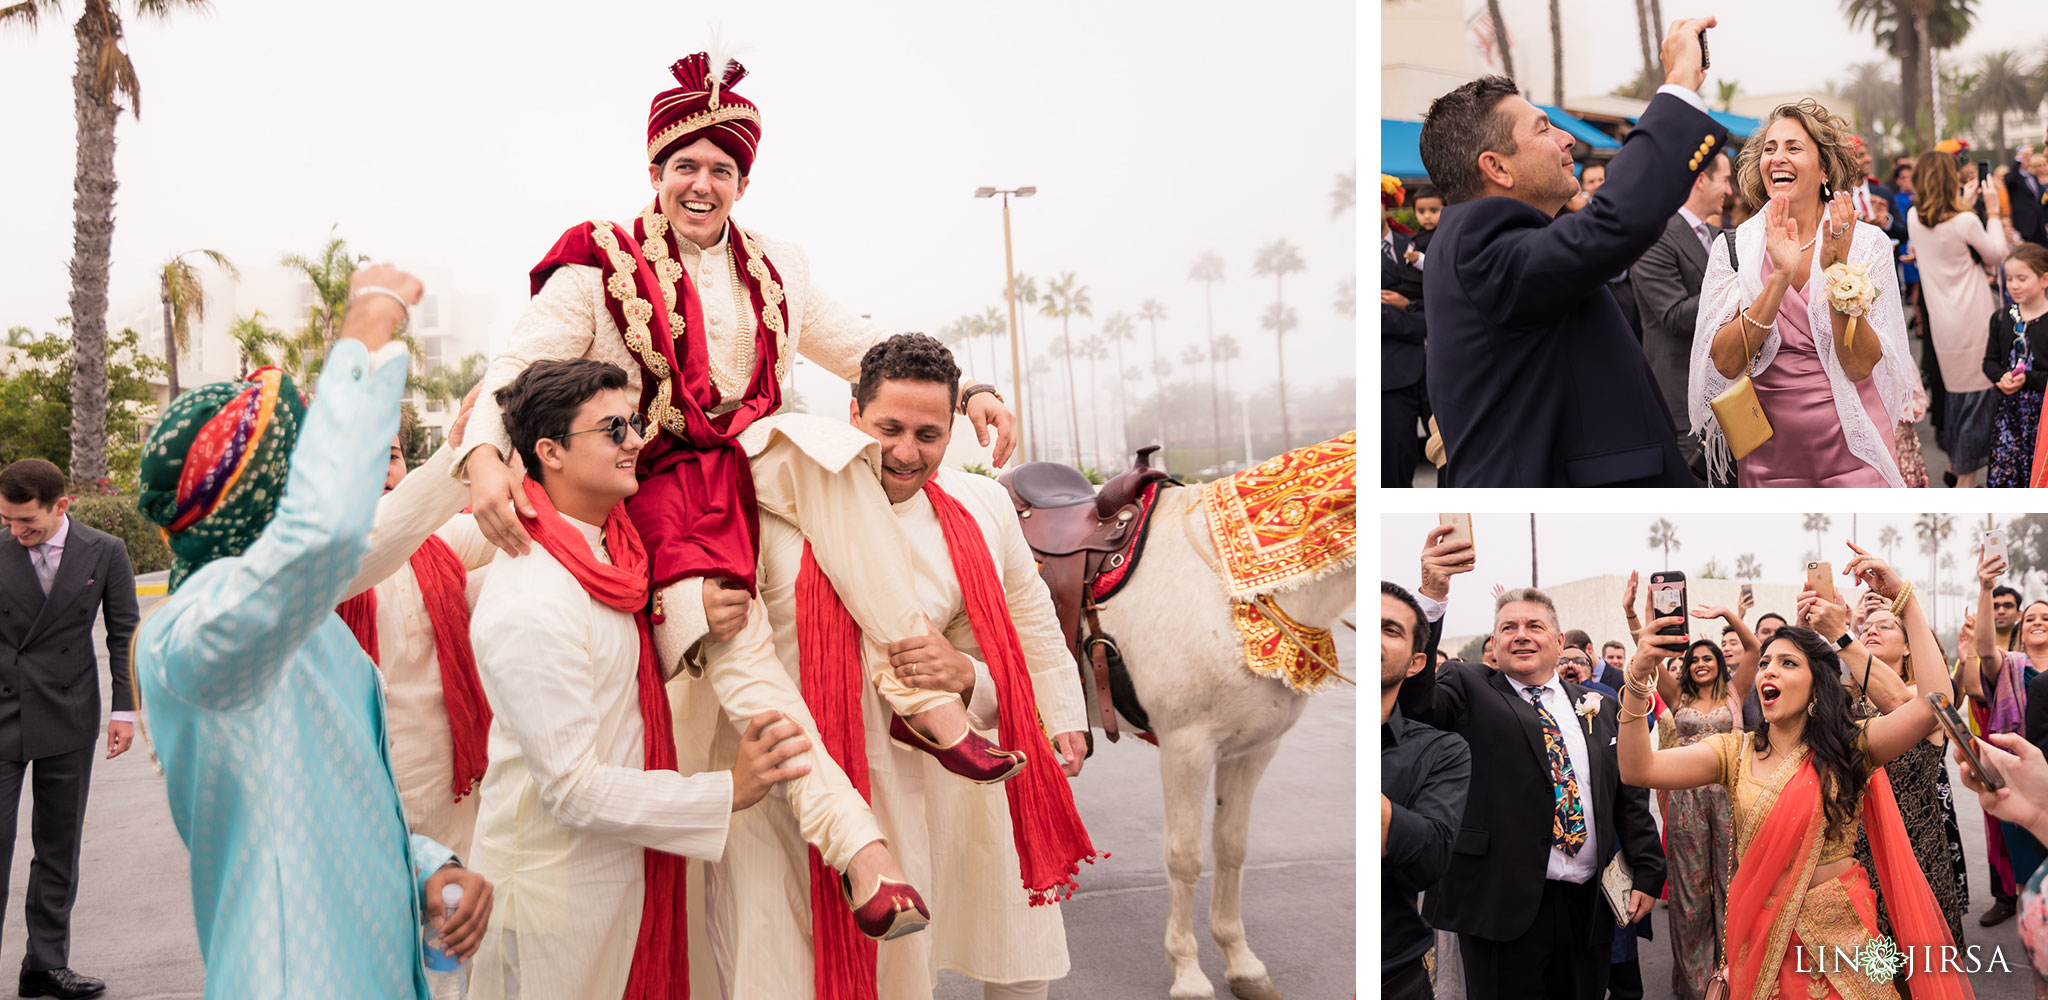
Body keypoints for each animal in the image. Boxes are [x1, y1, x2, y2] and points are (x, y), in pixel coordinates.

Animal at [1097, 475, 1351, 991]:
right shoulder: (1185, 746)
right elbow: (1185, 855)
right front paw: (1188, 971)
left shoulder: (1253, 749)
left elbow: (1231, 847)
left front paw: (1240, 960)